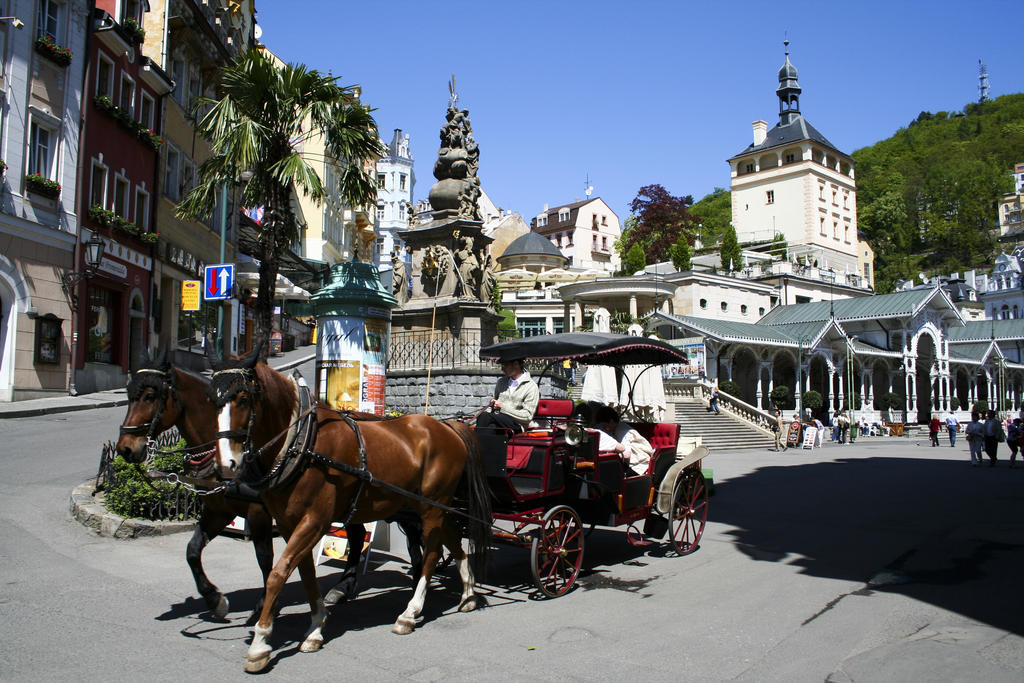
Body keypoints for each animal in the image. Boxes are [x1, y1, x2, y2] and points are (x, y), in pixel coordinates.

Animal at [205, 348, 489, 671]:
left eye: (242, 398)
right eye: (211, 400)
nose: (225, 465)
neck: (303, 442)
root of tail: (446, 426)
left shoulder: (314, 521)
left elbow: (278, 573)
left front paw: (261, 643)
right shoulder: (291, 523)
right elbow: (305, 572)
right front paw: (316, 627)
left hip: (432, 509)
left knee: (431, 553)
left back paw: (411, 612)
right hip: (429, 507)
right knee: (454, 542)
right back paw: (468, 594)